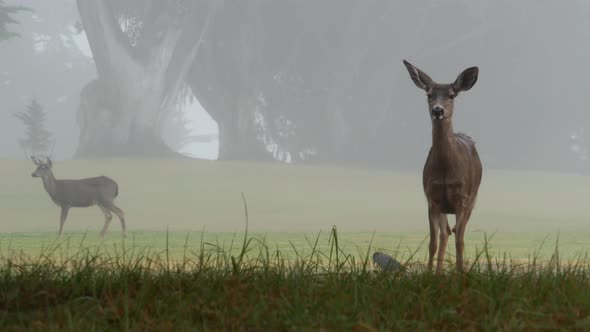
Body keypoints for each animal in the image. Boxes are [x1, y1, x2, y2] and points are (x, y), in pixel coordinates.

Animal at [402, 60, 486, 274]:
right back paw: (439, 272)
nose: (438, 110)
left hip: (473, 199)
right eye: (429, 94)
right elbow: (433, 242)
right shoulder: (432, 198)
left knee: (455, 233)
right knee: (445, 233)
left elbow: (460, 242)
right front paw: (430, 274)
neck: (446, 171)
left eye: (451, 95)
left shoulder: (462, 198)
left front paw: (460, 274)